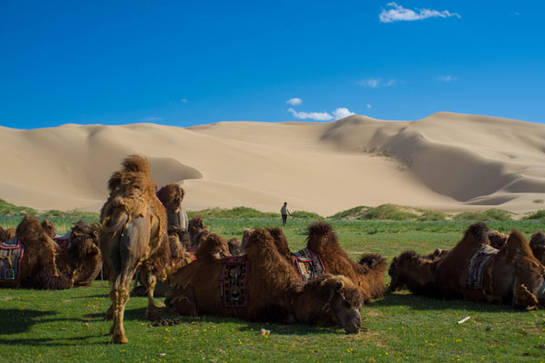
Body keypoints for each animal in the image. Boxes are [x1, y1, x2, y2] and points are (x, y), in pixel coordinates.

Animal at [100, 156, 171, 344]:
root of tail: (123, 213)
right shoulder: (151, 256)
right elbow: (150, 281)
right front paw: (152, 311)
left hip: (110, 254)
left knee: (114, 287)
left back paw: (114, 329)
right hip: (132, 254)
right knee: (123, 288)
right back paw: (120, 335)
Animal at [164, 229, 364, 334]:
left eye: (359, 304)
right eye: (346, 303)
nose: (357, 325)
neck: (293, 296)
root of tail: (177, 276)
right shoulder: (256, 310)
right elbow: (289, 318)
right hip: (183, 296)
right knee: (188, 306)